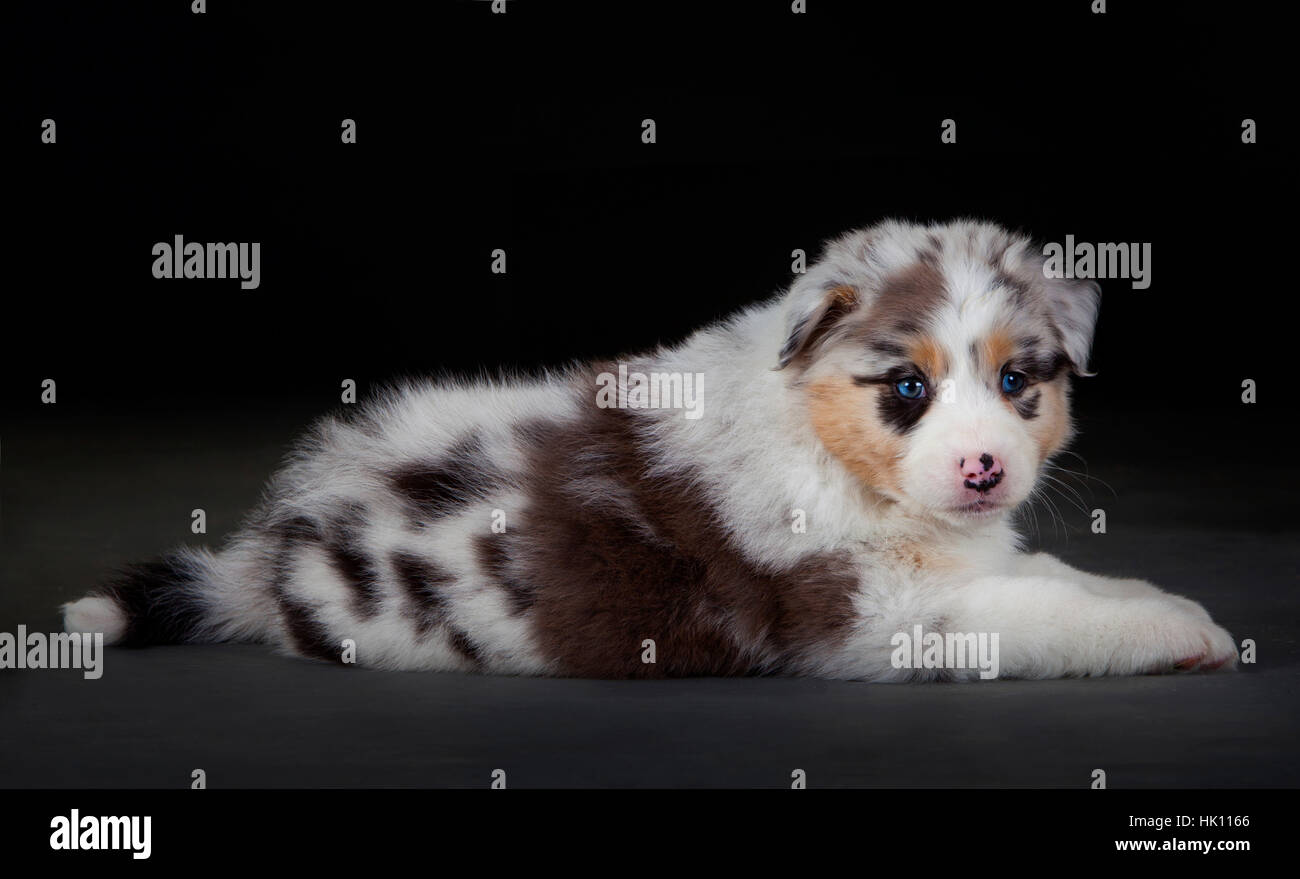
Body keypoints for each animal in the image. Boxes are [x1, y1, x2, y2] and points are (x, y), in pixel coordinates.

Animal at [63, 218, 1237, 681]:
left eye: (1015, 382)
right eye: (907, 387)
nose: (984, 470)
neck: (827, 448)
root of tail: (270, 557)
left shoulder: (957, 560)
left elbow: (1060, 578)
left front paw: (1166, 603)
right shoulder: (878, 613)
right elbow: (1041, 613)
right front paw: (1185, 629)